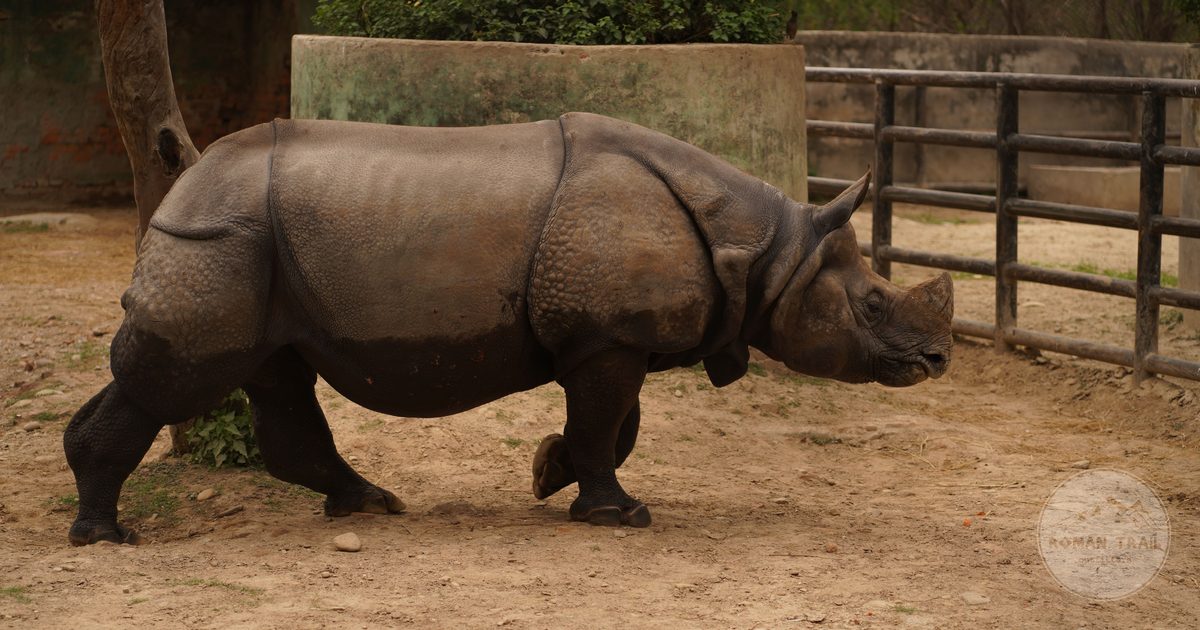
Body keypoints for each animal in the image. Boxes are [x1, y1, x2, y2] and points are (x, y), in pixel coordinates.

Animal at [64, 113, 953, 545]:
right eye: (874, 306)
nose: (939, 359)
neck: (766, 250)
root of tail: (186, 181)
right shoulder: (609, 335)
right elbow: (605, 425)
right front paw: (617, 516)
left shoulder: (607, 334)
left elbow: (615, 425)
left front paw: (547, 474)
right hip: (220, 243)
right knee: (178, 380)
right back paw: (106, 538)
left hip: (251, 247)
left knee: (271, 372)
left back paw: (370, 504)